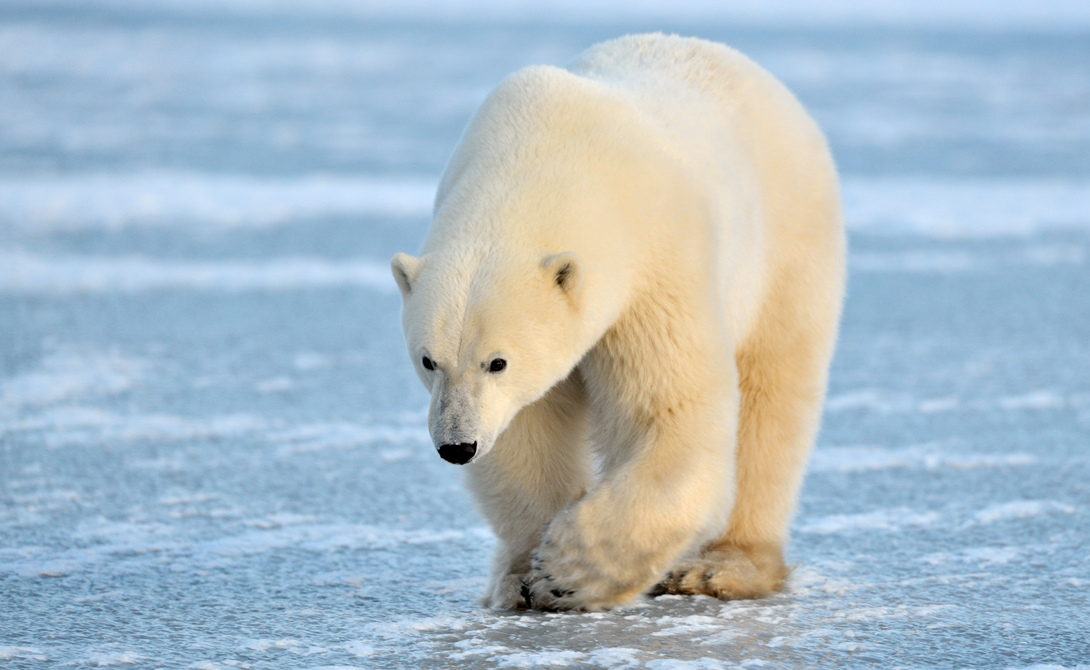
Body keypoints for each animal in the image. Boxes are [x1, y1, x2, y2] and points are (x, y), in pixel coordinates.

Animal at [390, 35, 841, 614]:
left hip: (787, 246)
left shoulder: (655, 265)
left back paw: (723, 567)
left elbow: (669, 413)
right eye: (428, 360)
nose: (456, 446)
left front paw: (567, 571)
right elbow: (524, 433)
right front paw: (526, 575)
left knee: (774, 397)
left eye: (498, 361)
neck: (549, 155)